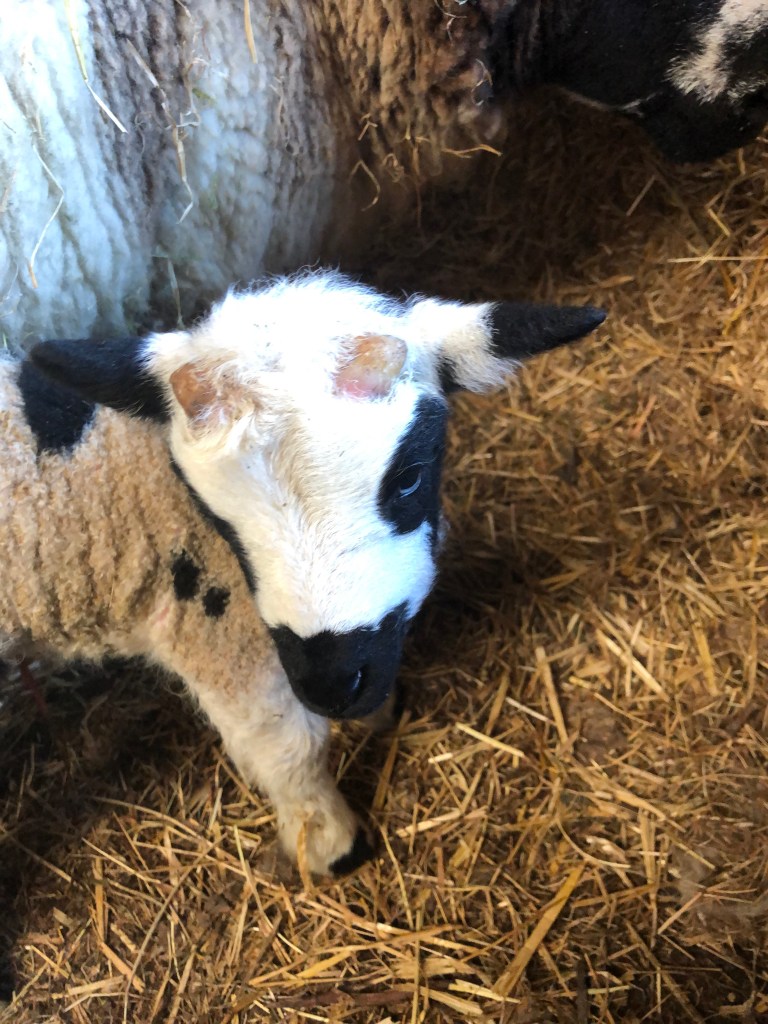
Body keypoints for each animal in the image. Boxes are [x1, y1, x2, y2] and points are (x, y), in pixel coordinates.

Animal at [1, 272, 605, 875]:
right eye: (211, 510)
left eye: (408, 477)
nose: (331, 684)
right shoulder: (211, 626)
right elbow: (288, 743)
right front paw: (327, 842)